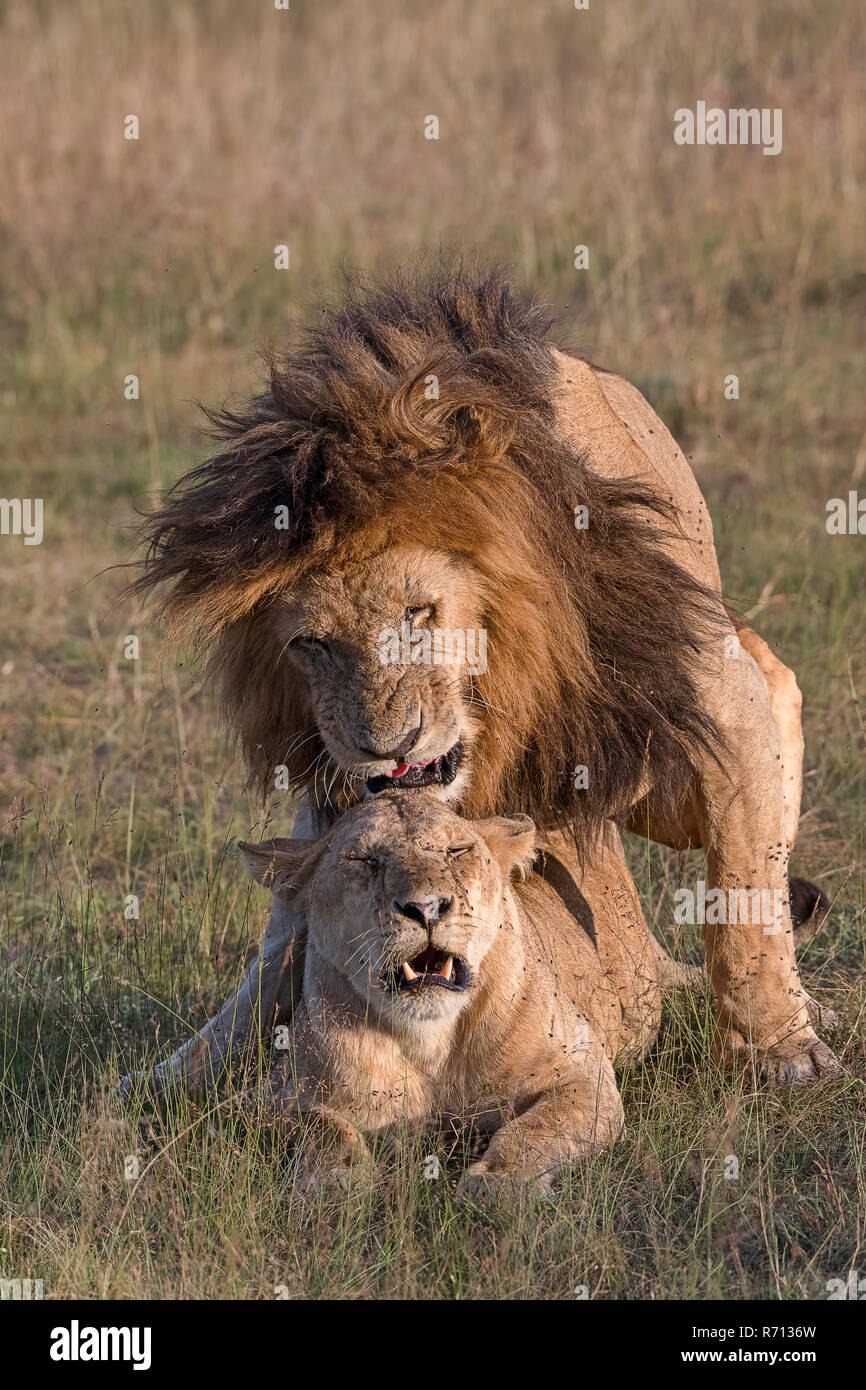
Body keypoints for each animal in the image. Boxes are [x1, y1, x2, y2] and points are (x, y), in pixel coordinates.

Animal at [123, 261, 839, 1089]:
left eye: (419, 612)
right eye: (311, 644)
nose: (383, 747)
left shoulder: (688, 708)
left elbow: (746, 894)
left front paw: (781, 1050)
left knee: (770, 708)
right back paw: (176, 1074)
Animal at [240, 795, 661, 1195]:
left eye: (456, 851)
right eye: (364, 859)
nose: (426, 907)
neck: (432, 1041)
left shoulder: (583, 1071)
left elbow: (538, 1126)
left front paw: (497, 1181)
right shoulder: (271, 1097)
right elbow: (324, 1126)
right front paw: (335, 1179)